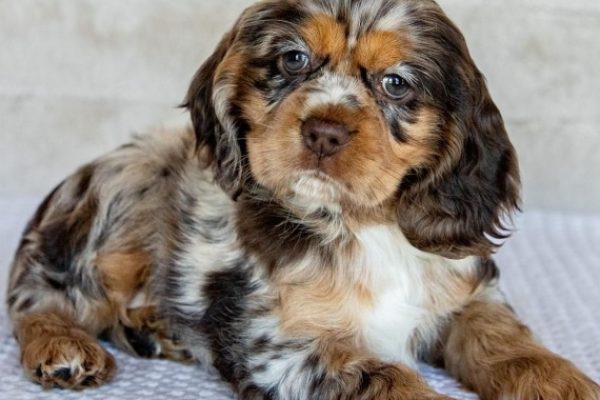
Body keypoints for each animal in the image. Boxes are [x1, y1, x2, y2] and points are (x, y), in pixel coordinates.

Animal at [5, 0, 600, 400]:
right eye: (294, 59)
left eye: (396, 83)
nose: (324, 132)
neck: (364, 224)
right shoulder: (283, 346)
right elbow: (390, 380)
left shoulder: (468, 293)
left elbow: (508, 339)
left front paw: (564, 381)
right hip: (124, 192)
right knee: (40, 295)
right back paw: (64, 349)